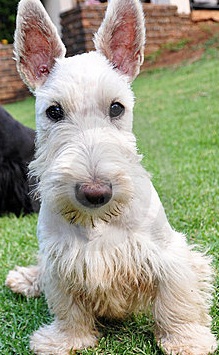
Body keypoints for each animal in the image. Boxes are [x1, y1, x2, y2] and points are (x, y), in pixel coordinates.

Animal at [5, 0, 217, 355]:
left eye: (116, 108)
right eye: (53, 112)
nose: (95, 192)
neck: (97, 221)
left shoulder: (167, 255)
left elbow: (176, 299)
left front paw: (186, 339)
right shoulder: (59, 259)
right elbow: (67, 306)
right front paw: (67, 339)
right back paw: (25, 279)